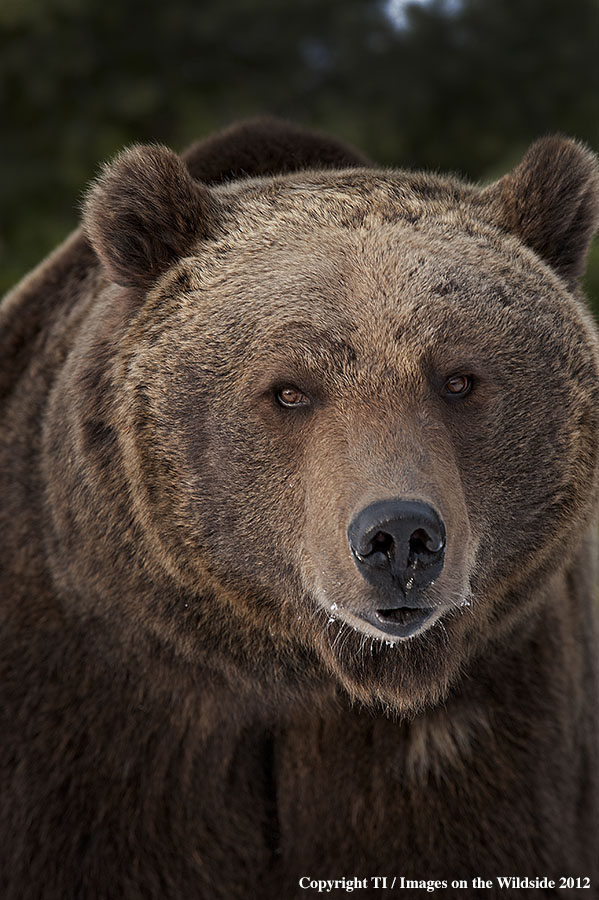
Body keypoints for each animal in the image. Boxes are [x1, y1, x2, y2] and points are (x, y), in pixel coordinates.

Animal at [0, 121, 596, 900]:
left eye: (459, 379)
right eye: (289, 390)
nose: (399, 536)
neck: (294, 672)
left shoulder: (480, 727)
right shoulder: (94, 719)